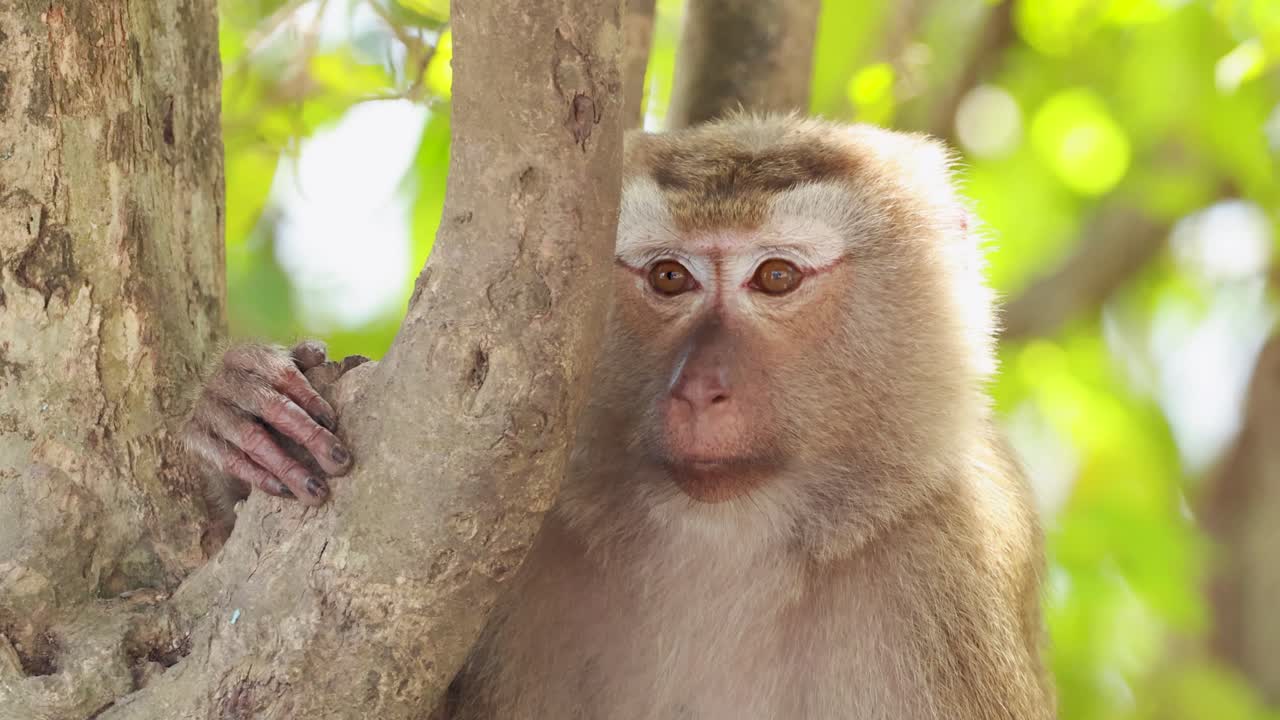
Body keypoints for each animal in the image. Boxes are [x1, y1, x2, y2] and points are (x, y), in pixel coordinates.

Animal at [183, 114, 1054, 719]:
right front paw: (237, 410)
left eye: (775, 277)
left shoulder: (953, 558)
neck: (722, 546)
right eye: (669, 277)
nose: (701, 388)